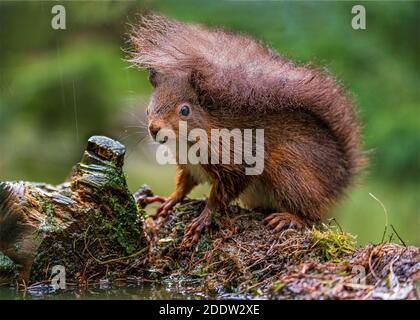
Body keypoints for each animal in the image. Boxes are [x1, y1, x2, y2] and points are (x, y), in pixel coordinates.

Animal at [129, 15, 364, 246]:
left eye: (185, 110)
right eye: (148, 109)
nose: (154, 129)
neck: (189, 141)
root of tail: (340, 175)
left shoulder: (238, 159)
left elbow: (222, 193)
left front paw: (204, 217)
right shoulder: (189, 166)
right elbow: (184, 184)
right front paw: (170, 200)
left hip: (289, 166)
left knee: (312, 215)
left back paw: (291, 218)